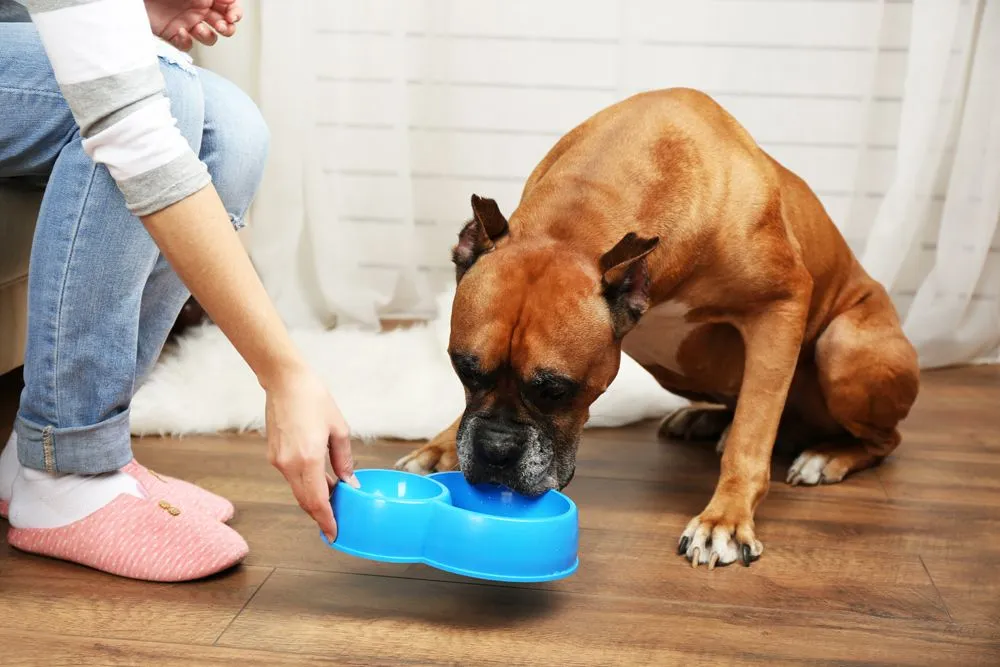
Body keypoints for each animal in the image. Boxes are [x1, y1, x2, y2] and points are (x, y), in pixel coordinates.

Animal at [394, 87, 916, 568]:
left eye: (557, 391)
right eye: (464, 370)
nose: (496, 450)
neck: (578, 216)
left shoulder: (782, 303)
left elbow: (752, 436)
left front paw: (726, 519)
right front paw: (439, 447)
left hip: (841, 346)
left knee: (883, 439)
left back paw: (826, 456)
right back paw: (706, 420)